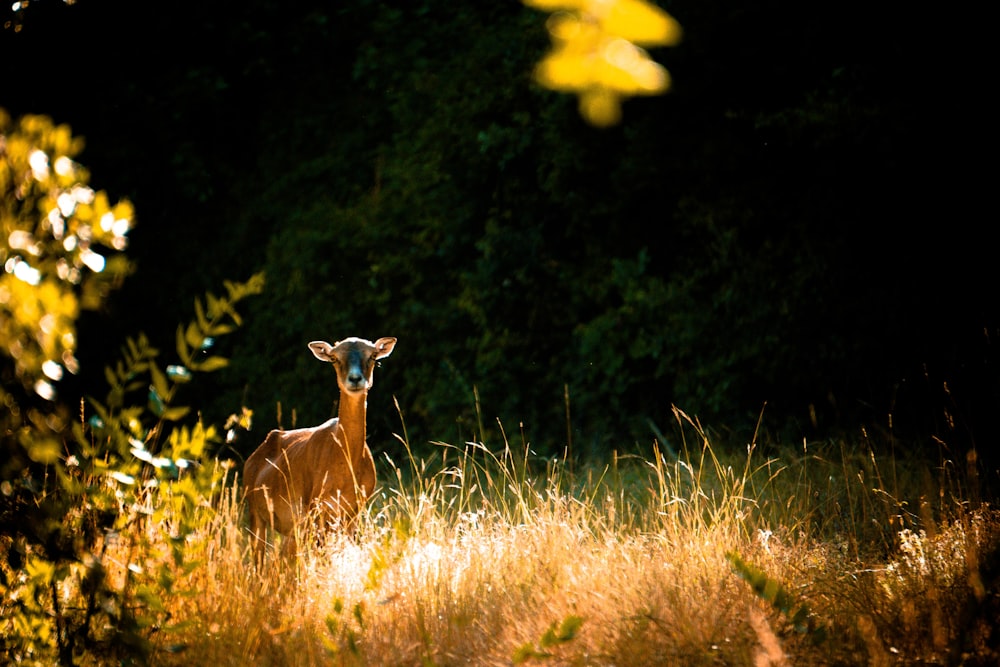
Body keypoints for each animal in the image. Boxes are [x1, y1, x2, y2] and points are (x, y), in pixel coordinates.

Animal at [244, 336, 396, 556]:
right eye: (334, 358)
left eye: (373, 356)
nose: (355, 379)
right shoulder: (315, 507)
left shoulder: (354, 510)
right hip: (255, 513)